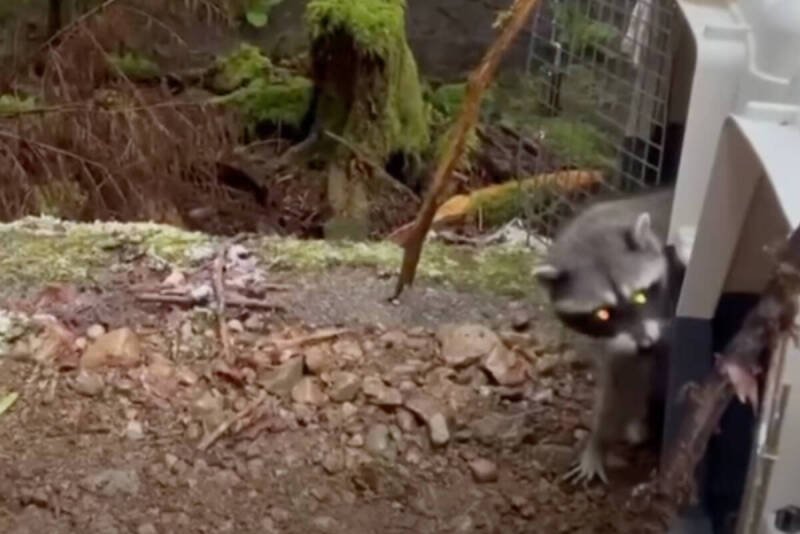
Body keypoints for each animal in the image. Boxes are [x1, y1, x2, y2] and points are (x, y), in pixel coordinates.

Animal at [534, 188, 688, 484]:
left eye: (639, 296)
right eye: (603, 313)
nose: (647, 345)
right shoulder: (614, 343)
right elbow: (621, 381)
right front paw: (598, 442)